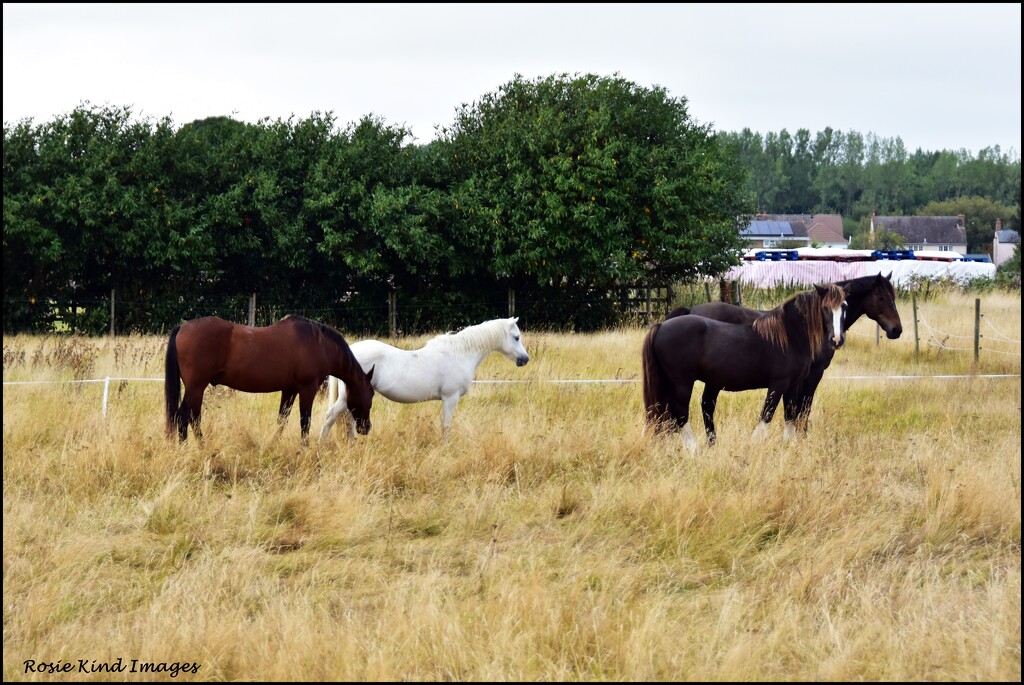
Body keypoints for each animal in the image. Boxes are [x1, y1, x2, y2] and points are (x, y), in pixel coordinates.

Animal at [163, 315, 376, 444]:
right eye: (370, 395)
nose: (367, 428)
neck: (319, 343)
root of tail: (183, 326)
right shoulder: (307, 389)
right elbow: (304, 421)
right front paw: (304, 448)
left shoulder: (289, 389)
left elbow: (282, 419)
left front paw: (274, 444)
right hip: (196, 387)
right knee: (183, 417)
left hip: (197, 389)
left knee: (193, 417)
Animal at [317, 315, 528, 438]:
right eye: (516, 337)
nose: (525, 359)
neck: (460, 353)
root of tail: (348, 352)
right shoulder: (450, 399)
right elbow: (446, 427)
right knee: (330, 417)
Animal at [638, 282, 847, 448]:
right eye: (825, 307)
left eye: (844, 307)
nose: (836, 340)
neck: (789, 337)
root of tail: (661, 326)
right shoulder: (778, 384)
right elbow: (767, 415)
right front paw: (754, 444)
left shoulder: (792, 386)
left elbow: (789, 416)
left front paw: (789, 446)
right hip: (682, 384)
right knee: (680, 413)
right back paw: (693, 450)